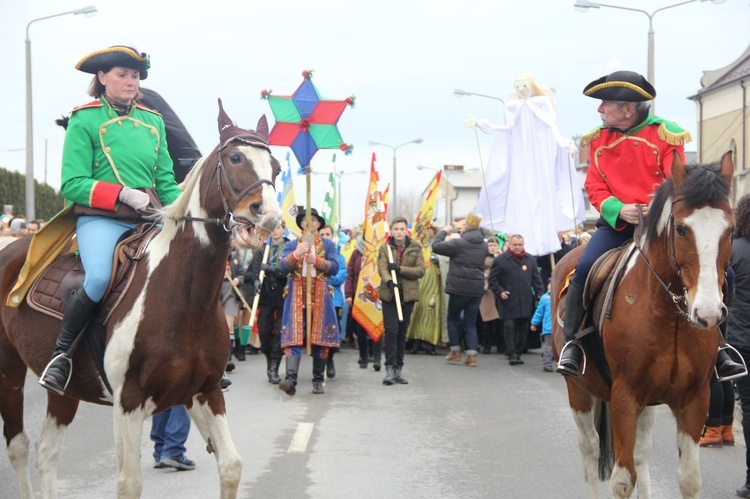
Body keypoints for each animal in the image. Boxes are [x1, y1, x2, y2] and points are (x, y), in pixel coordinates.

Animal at [0, 102, 282, 499]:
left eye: (276, 168)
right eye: (236, 157)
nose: (268, 215)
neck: (186, 300)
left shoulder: (205, 390)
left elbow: (231, 466)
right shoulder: (128, 402)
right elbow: (129, 482)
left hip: (64, 391)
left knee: (48, 452)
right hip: (8, 370)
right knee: (19, 446)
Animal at [556, 153, 736, 499]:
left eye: (731, 229)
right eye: (680, 229)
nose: (708, 313)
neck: (670, 317)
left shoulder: (694, 399)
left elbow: (688, 478)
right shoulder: (625, 397)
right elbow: (622, 480)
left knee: (641, 452)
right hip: (578, 390)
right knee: (590, 449)